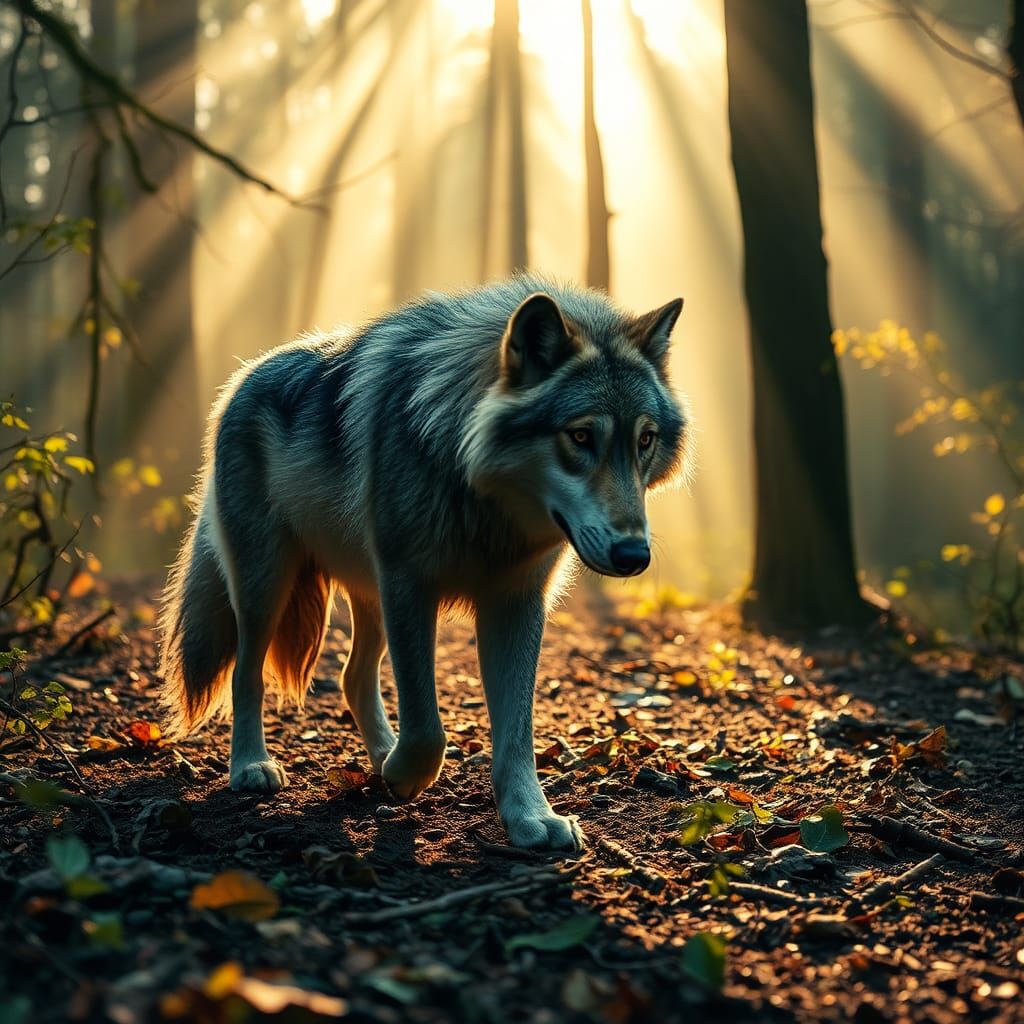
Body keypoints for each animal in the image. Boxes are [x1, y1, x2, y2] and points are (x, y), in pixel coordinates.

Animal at [159, 274, 690, 850]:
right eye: (580, 436)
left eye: (645, 440)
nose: (634, 555)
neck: (481, 496)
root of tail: (244, 375)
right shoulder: (409, 587)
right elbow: (426, 723)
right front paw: (407, 774)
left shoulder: (515, 603)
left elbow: (516, 731)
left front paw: (531, 818)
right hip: (267, 586)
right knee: (247, 673)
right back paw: (253, 766)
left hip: (367, 597)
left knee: (352, 676)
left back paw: (376, 757)